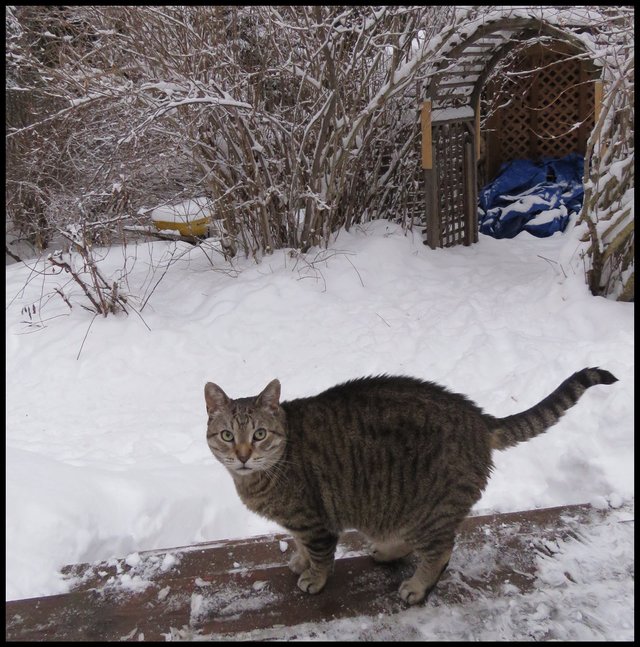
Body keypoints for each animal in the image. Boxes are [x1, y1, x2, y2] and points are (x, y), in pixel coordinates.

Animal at [204, 370, 616, 608]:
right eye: (227, 436)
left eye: (259, 434)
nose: (243, 455)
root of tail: (480, 419)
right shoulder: (303, 524)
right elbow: (302, 545)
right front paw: (299, 561)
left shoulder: (316, 522)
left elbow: (320, 555)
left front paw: (313, 577)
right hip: (400, 509)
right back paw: (387, 552)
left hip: (430, 511)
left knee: (441, 550)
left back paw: (418, 586)